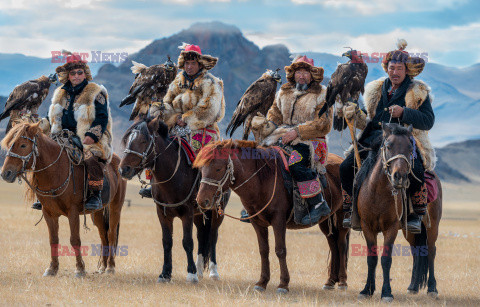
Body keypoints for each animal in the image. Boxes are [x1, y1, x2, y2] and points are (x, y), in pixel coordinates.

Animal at [0, 121, 127, 278]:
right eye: (10, 144)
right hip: (97, 211)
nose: (5, 173)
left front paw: (80, 269)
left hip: (115, 206)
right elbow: (53, 239)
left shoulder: (73, 212)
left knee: (111, 234)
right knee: (103, 234)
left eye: (23, 145)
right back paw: (102, 267)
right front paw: (52, 268)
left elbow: (75, 239)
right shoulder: (49, 213)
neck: (56, 171)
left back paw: (110, 267)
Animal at [117, 117, 228, 284]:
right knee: (202, 235)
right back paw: (200, 269)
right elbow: (167, 241)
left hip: (217, 211)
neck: (173, 176)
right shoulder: (162, 213)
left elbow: (187, 242)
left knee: (213, 236)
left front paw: (191, 274)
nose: (124, 169)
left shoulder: (187, 213)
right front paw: (165, 274)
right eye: (127, 140)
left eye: (143, 140)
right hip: (199, 213)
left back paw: (213, 272)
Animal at [193, 140, 350, 294]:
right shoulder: (257, 222)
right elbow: (263, 250)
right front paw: (262, 282)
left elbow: (280, 250)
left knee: (341, 245)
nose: (201, 200)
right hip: (326, 219)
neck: (262, 181)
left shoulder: (278, 221)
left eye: (218, 168)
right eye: (201, 169)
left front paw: (283, 284)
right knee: (333, 244)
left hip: (341, 216)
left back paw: (342, 282)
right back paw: (330, 281)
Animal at [352, 123, 442, 304]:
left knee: (431, 251)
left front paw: (386, 292)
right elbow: (371, 258)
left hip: (432, 226)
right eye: (388, 146)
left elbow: (386, 259)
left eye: (409, 147)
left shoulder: (391, 228)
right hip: (411, 231)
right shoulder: (367, 227)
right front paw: (367, 290)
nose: (399, 176)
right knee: (416, 251)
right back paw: (413, 287)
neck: (377, 193)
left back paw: (432, 288)